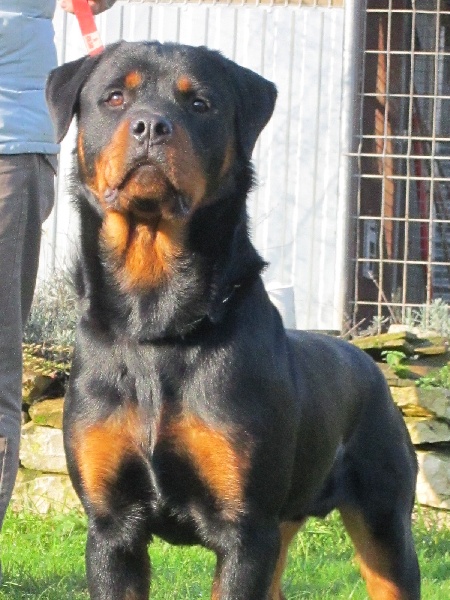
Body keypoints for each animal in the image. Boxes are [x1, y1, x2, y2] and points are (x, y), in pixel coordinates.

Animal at [46, 41, 420, 600]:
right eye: (114, 97)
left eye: (200, 104)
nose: (151, 125)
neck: (156, 321)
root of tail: (365, 359)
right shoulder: (111, 530)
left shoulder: (245, 531)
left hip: (383, 521)